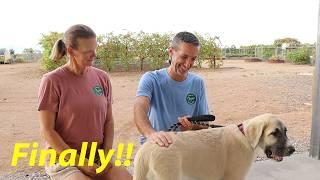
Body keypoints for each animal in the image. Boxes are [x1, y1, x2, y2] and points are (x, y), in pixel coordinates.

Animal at [132, 113, 296, 179]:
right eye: (274, 133)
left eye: (285, 131)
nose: (292, 150)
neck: (245, 136)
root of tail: (146, 149)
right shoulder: (234, 177)